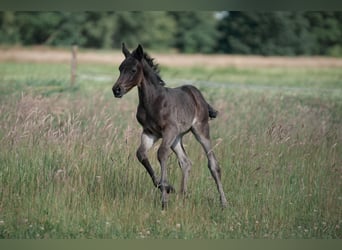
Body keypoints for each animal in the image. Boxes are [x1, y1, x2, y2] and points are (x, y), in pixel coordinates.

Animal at [112, 43, 227, 209]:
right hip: (177, 138)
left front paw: (164, 198)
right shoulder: (150, 132)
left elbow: (161, 154)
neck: (153, 101)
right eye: (120, 68)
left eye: (133, 70)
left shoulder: (168, 130)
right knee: (185, 162)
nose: (116, 90)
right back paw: (183, 195)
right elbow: (141, 154)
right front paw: (167, 187)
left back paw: (224, 202)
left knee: (213, 164)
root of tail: (199, 96)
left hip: (200, 130)